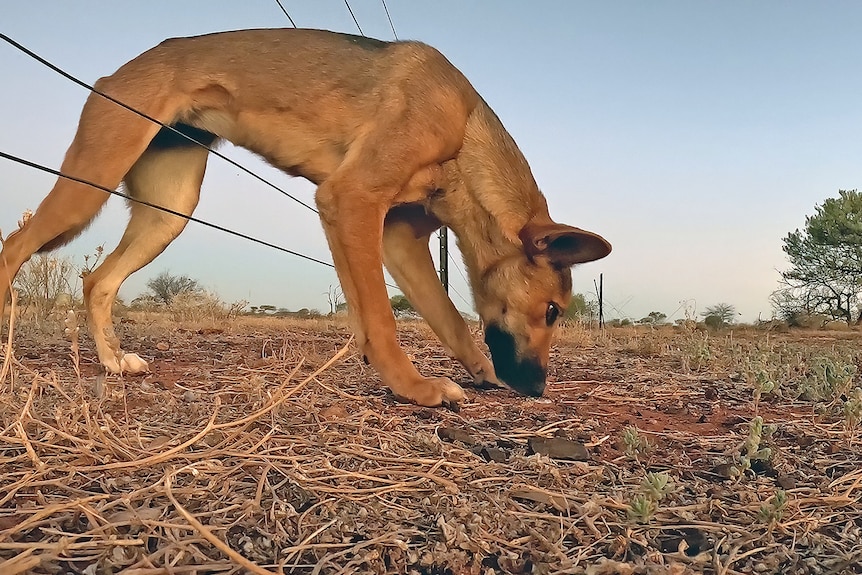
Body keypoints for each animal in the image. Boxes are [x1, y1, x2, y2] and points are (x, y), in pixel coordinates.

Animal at [0, 27, 612, 404]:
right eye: (553, 311)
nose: (538, 388)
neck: (465, 133)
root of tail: (114, 74)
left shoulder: (397, 238)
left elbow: (447, 317)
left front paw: (477, 371)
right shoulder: (352, 200)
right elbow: (383, 320)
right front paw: (414, 389)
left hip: (168, 210)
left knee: (97, 280)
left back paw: (111, 363)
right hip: (90, 181)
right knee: (14, 248)